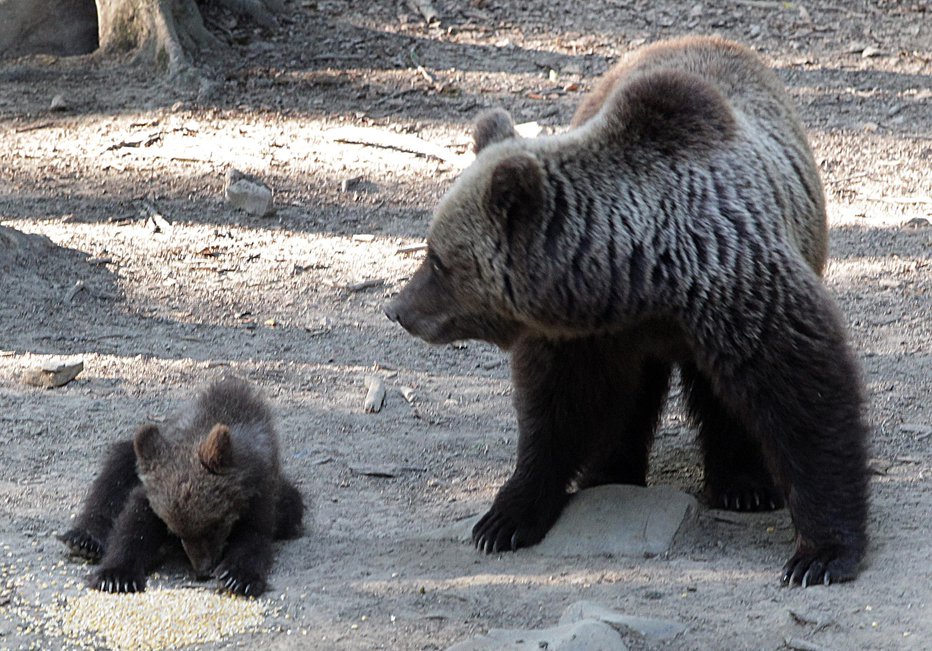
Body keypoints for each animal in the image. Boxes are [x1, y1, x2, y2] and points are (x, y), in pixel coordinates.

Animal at [384, 34, 868, 584]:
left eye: (437, 260)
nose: (398, 308)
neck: (642, 278)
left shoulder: (739, 291)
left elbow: (806, 400)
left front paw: (820, 553)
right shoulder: (581, 335)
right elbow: (555, 409)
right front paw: (505, 518)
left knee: (720, 398)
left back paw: (743, 485)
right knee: (630, 398)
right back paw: (611, 472)